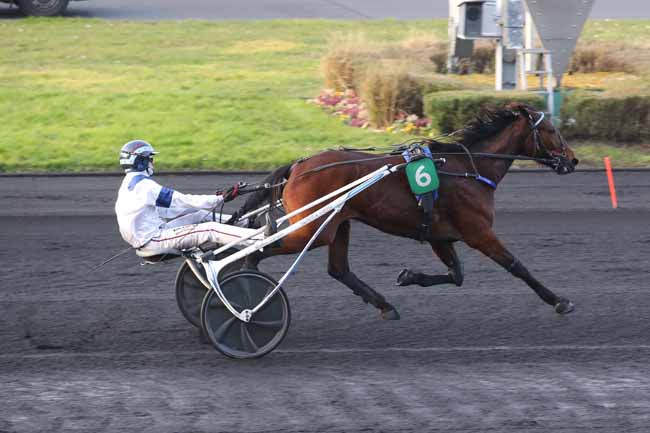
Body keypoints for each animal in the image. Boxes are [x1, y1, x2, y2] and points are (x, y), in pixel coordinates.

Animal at [233, 104, 576, 320]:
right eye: (550, 129)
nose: (571, 160)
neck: (470, 169)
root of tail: (297, 167)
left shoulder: (441, 236)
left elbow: (457, 276)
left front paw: (409, 276)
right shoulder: (478, 232)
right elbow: (516, 266)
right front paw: (559, 300)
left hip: (337, 224)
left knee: (338, 269)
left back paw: (385, 306)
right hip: (312, 228)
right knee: (258, 249)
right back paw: (248, 288)